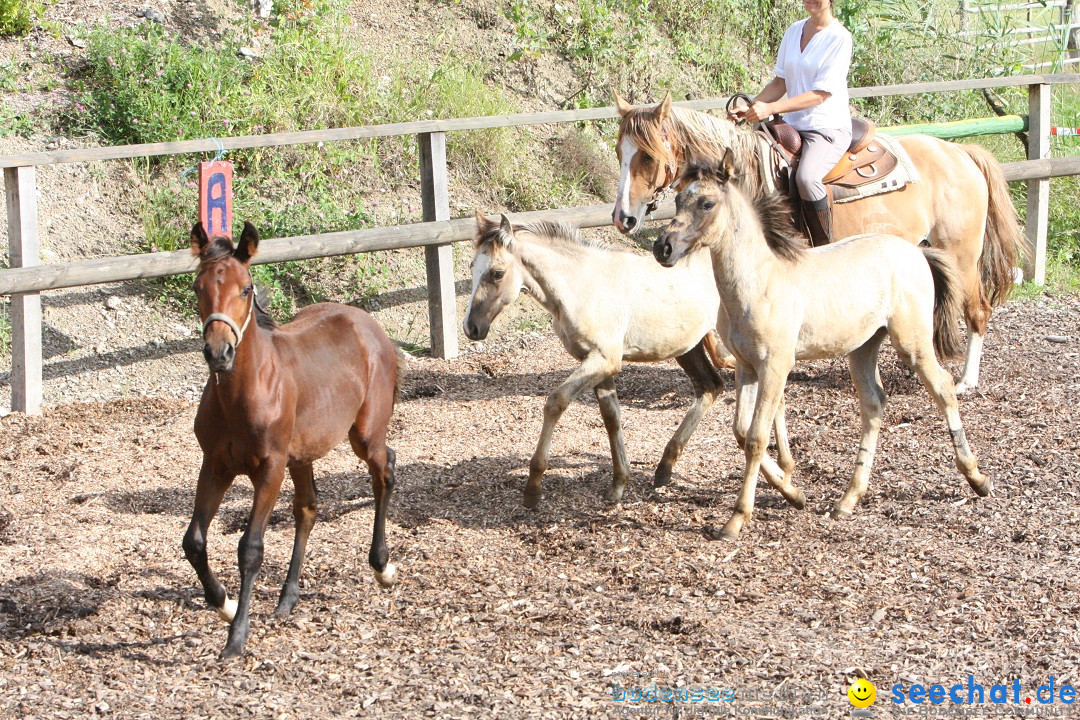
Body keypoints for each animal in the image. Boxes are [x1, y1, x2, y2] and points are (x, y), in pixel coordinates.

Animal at [181, 222, 401, 660]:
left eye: (246, 288)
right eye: (198, 287)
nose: (219, 352)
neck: (243, 393)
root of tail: (367, 323)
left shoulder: (270, 468)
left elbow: (250, 548)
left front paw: (236, 637)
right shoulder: (215, 464)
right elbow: (194, 541)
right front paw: (223, 603)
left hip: (364, 434)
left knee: (384, 468)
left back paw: (382, 566)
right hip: (302, 454)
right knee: (308, 508)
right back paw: (288, 597)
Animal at [464, 212, 734, 507]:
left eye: (497, 273)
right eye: (471, 266)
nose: (471, 328)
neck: (583, 286)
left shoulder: (604, 360)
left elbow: (556, 402)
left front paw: (533, 487)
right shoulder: (596, 361)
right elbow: (611, 416)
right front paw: (618, 485)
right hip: (686, 346)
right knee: (710, 386)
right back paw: (664, 468)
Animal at [613, 92, 1023, 395]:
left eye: (647, 155)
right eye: (620, 153)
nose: (624, 217)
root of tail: (961, 153)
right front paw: (726, 358)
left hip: (961, 253)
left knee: (978, 310)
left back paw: (966, 380)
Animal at [652, 157, 989, 539]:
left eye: (707, 203)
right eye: (679, 200)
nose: (663, 247)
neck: (759, 283)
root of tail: (917, 251)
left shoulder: (775, 365)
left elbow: (756, 438)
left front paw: (737, 518)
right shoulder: (746, 366)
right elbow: (740, 431)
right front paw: (792, 492)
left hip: (911, 342)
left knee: (943, 389)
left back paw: (977, 478)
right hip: (863, 347)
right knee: (874, 404)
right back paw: (848, 500)